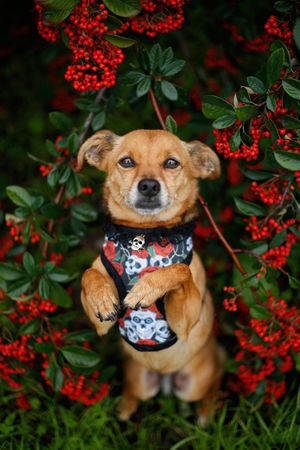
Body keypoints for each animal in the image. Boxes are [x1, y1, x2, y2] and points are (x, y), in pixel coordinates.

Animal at [77, 128, 225, 424]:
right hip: (140, 379)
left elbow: (179, 270)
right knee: (133, 394)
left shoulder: (183, 322)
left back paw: (207, 412)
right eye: (126, 162)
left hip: (195, 381)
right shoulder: (99, 325)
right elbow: (88, 273)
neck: (144, 237)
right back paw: (122, 410)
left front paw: (145, 289)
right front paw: (102, 299)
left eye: (171, 163)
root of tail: (165, 377)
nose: (148, 186)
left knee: (214, 380)